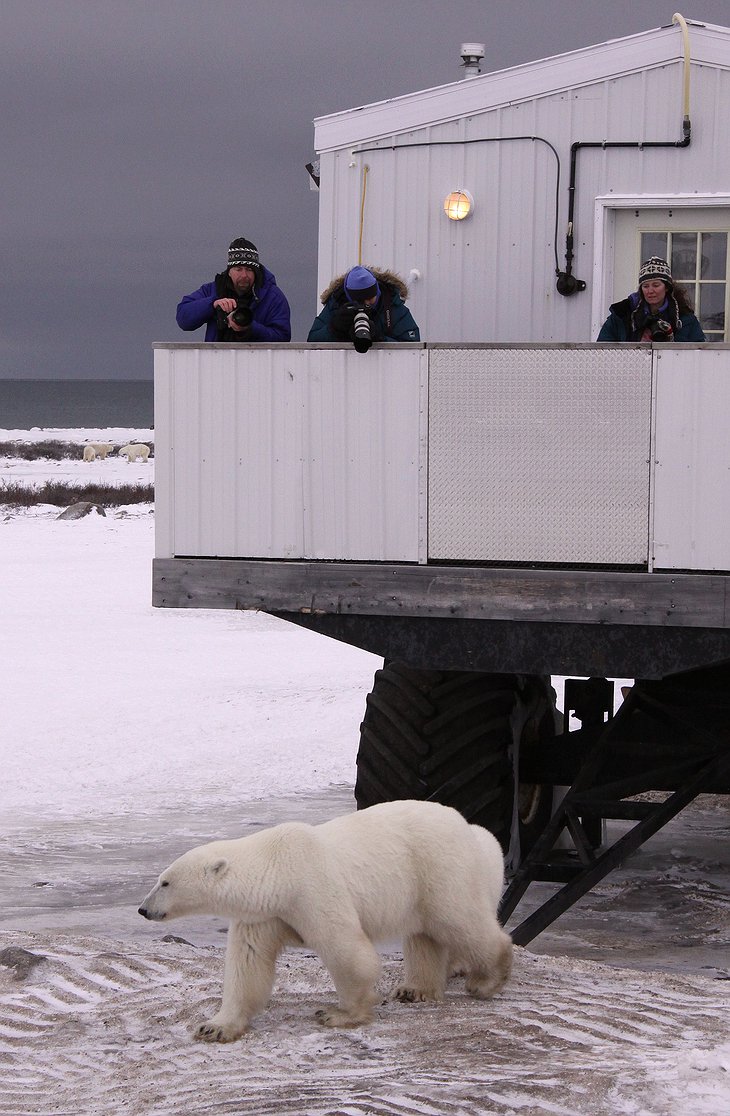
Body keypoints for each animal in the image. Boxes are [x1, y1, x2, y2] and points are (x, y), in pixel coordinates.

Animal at [138, 799, 515, 1040]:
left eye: (165, 882)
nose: (143, 909)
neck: (277, 869)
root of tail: (469, 827)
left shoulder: (312, 887)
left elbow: (346, 950)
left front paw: (340, 1014)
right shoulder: (264, 914)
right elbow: (248, 965)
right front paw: (215, 1027)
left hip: (436, 866)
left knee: (458, 919)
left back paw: (486, 979)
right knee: (426, 934)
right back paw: (415, 990)